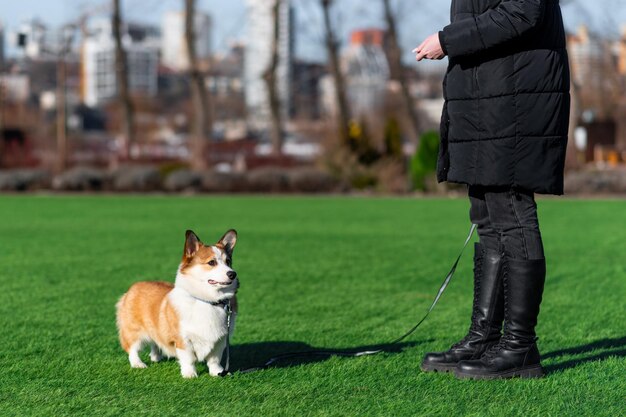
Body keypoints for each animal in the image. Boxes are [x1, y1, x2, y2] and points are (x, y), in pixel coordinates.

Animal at [116, 228, 238, 376]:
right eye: (211, 262)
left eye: (228, 261)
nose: (233, 274)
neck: (208, 301)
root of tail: (133, 288)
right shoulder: (183, 339)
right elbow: (189, 359)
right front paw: (190, 375)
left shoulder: (220, 340)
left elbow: (214, 359)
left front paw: (218, 373)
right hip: (134, 330)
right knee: (132, 348)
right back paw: (138, 364)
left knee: (155, 342)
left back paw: (156, 357)